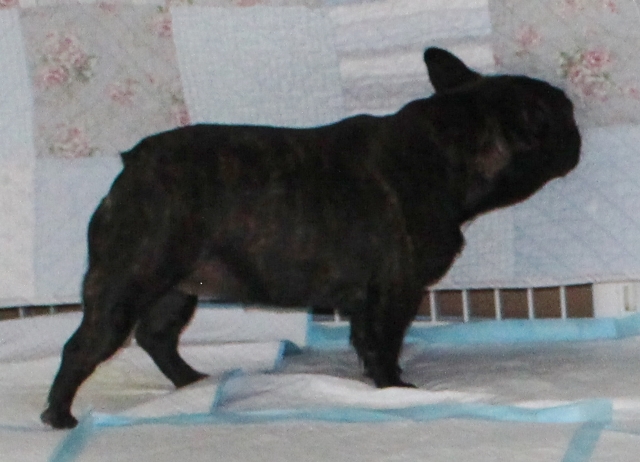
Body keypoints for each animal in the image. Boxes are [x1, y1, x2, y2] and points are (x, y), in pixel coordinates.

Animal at [41, 47, 581, 428]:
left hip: (174, 288)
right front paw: (395, 388)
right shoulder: (396, 290)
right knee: (84, 346)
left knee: (156, 335)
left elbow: (365, 339)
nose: (578, 131)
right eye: (562, 115)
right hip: (127, 281)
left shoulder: (369, 298)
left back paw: (192, 382)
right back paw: (60, 417)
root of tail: (135, 166)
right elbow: (385, 343)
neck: (448, 145)